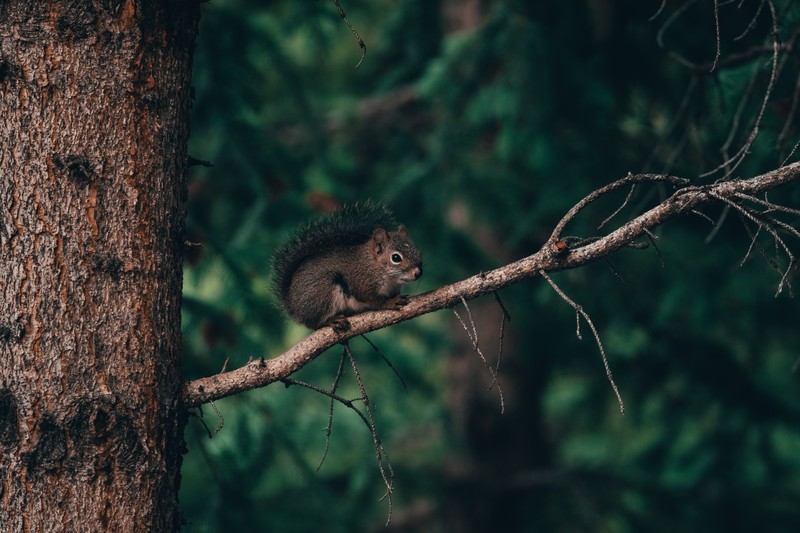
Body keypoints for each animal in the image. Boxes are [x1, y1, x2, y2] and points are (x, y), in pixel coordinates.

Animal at [270, 202, 422, 330]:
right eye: (396, 258)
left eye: (417, 250)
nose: (418, 273)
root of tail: (293, 307)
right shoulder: (363, 282)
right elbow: (373, 299)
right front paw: (389, 303)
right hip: (323, 292)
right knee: (314, 323)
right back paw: (331, 320)